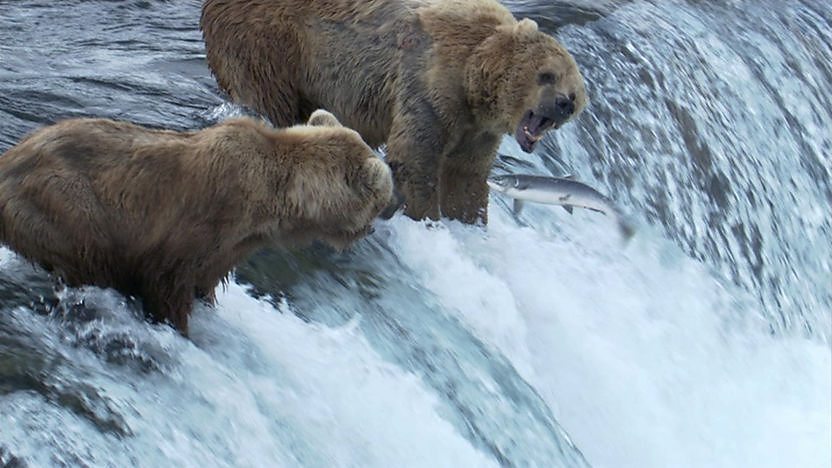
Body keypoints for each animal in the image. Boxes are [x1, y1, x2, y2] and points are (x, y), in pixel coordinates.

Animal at [0, 109, 393, 335]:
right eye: (383, 196)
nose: (389, 212)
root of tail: (11, 156)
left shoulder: (231, 245)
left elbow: (206, 279)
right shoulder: (198, 223)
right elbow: (167, 282)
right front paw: (176, 324)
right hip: (63, 203)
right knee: (90, 255)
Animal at [200, 0, 587, 224]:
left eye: (576, 91)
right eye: (546, 74)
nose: (563, 103)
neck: (475, 83)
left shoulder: (476, 129)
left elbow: (466, 176)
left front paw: (468, 220)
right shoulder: (429, 88)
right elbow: (417, 159)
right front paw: (428, 217)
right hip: (268, 43)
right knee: (270, 98)